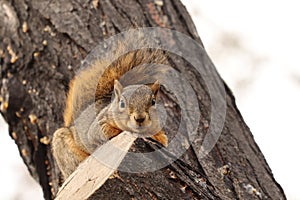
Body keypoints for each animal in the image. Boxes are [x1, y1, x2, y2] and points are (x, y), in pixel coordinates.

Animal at [52, 43, 168, 180]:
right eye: (122, 103)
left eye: (153, 102)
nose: (139, 118)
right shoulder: (99, 124)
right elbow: (102, 131)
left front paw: (160, 138)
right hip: (65, 147)